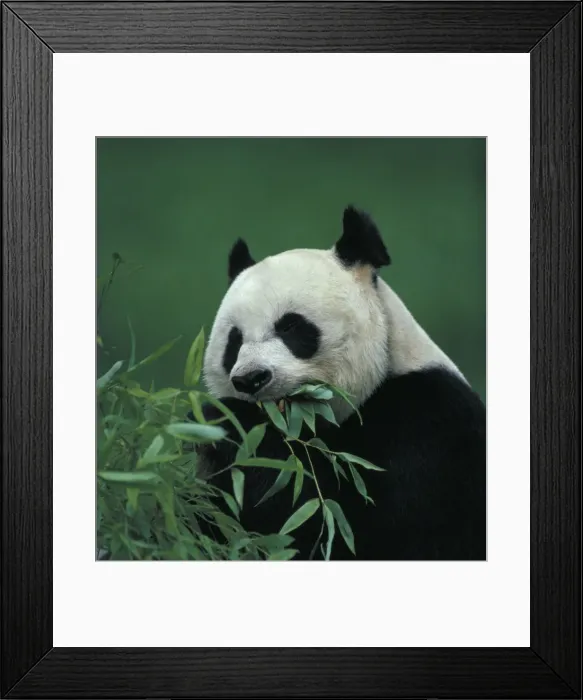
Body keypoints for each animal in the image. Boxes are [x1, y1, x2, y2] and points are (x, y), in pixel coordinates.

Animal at [194, 206, 486, 561]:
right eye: (234, 341)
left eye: (291, 326)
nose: (251, 379)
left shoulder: (431, 427)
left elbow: (353, 533)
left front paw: (231, 423)